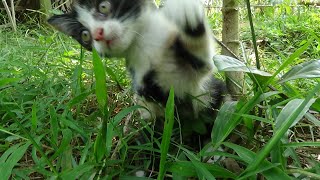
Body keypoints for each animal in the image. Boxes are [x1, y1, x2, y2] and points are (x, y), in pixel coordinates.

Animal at [48, 0, 226, 140]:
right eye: (85, 35)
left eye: (103, 7)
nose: (98, 34)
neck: (143, 43)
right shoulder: (144, 83)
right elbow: (151, 105)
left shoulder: (200, 83)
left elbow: (203, 62)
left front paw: (186, 11)